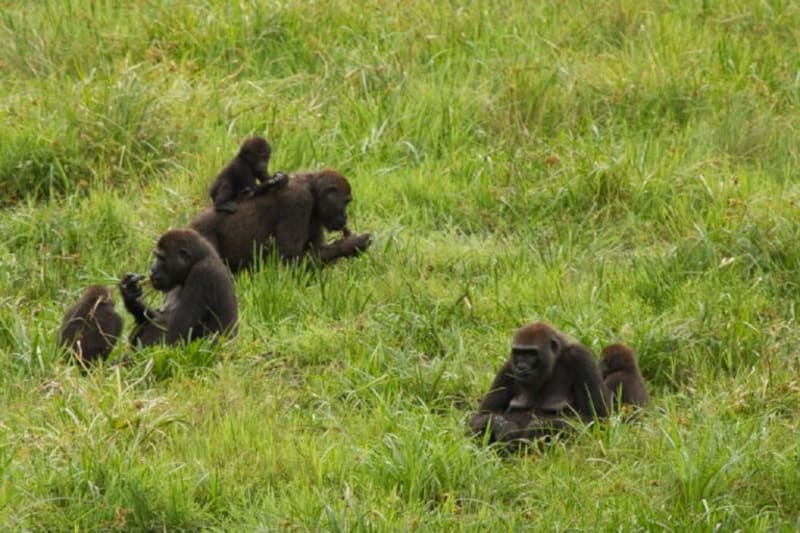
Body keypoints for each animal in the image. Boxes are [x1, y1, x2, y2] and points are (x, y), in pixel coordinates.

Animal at [191, 168, 371, 273]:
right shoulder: (299, 201)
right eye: (346, 202)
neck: (312, 188)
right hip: (202, 232)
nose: (345, 217)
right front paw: (351, 245)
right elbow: (290, 262)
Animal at [469, 322, 612, 447]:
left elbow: (596, 419)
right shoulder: (508, 367)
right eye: (519, 353)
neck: (555, 360)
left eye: (531, 353)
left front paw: (539, 427)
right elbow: (481, 417)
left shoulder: (580, 358)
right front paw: (503, 426)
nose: (521, 367)